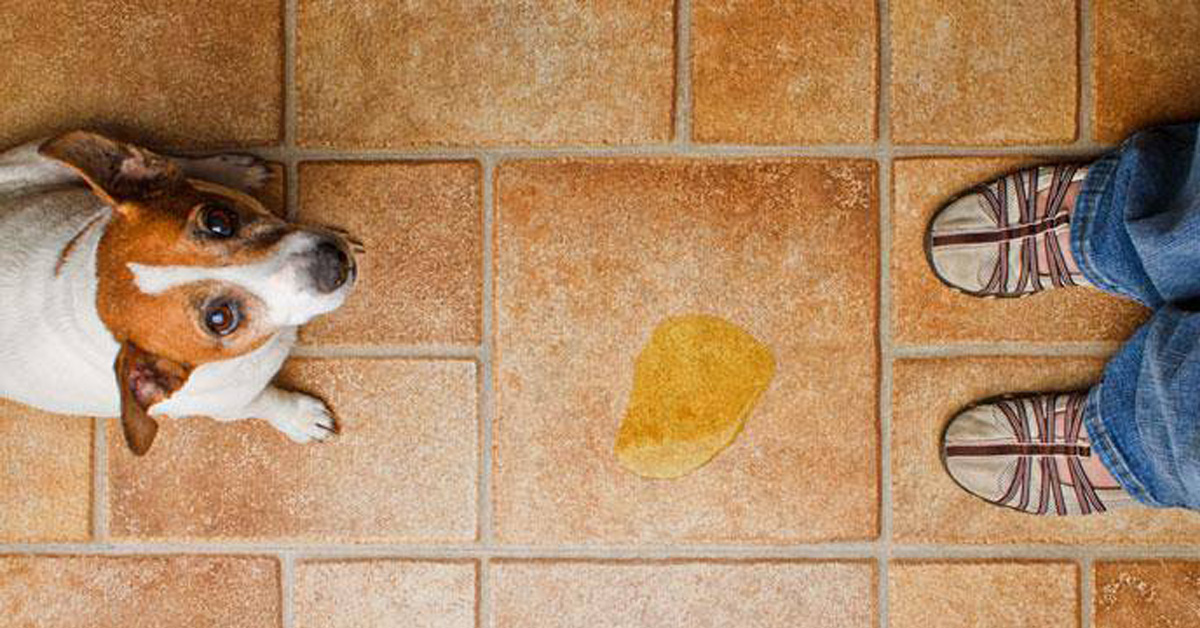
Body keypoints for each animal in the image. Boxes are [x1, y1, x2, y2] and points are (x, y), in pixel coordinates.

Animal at [0, 131, 355, 456]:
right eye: (220, 319)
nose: (333, 262)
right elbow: (268, 402)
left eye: (218, 220)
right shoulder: (231, 405)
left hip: (38, 160)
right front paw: (301, 418)